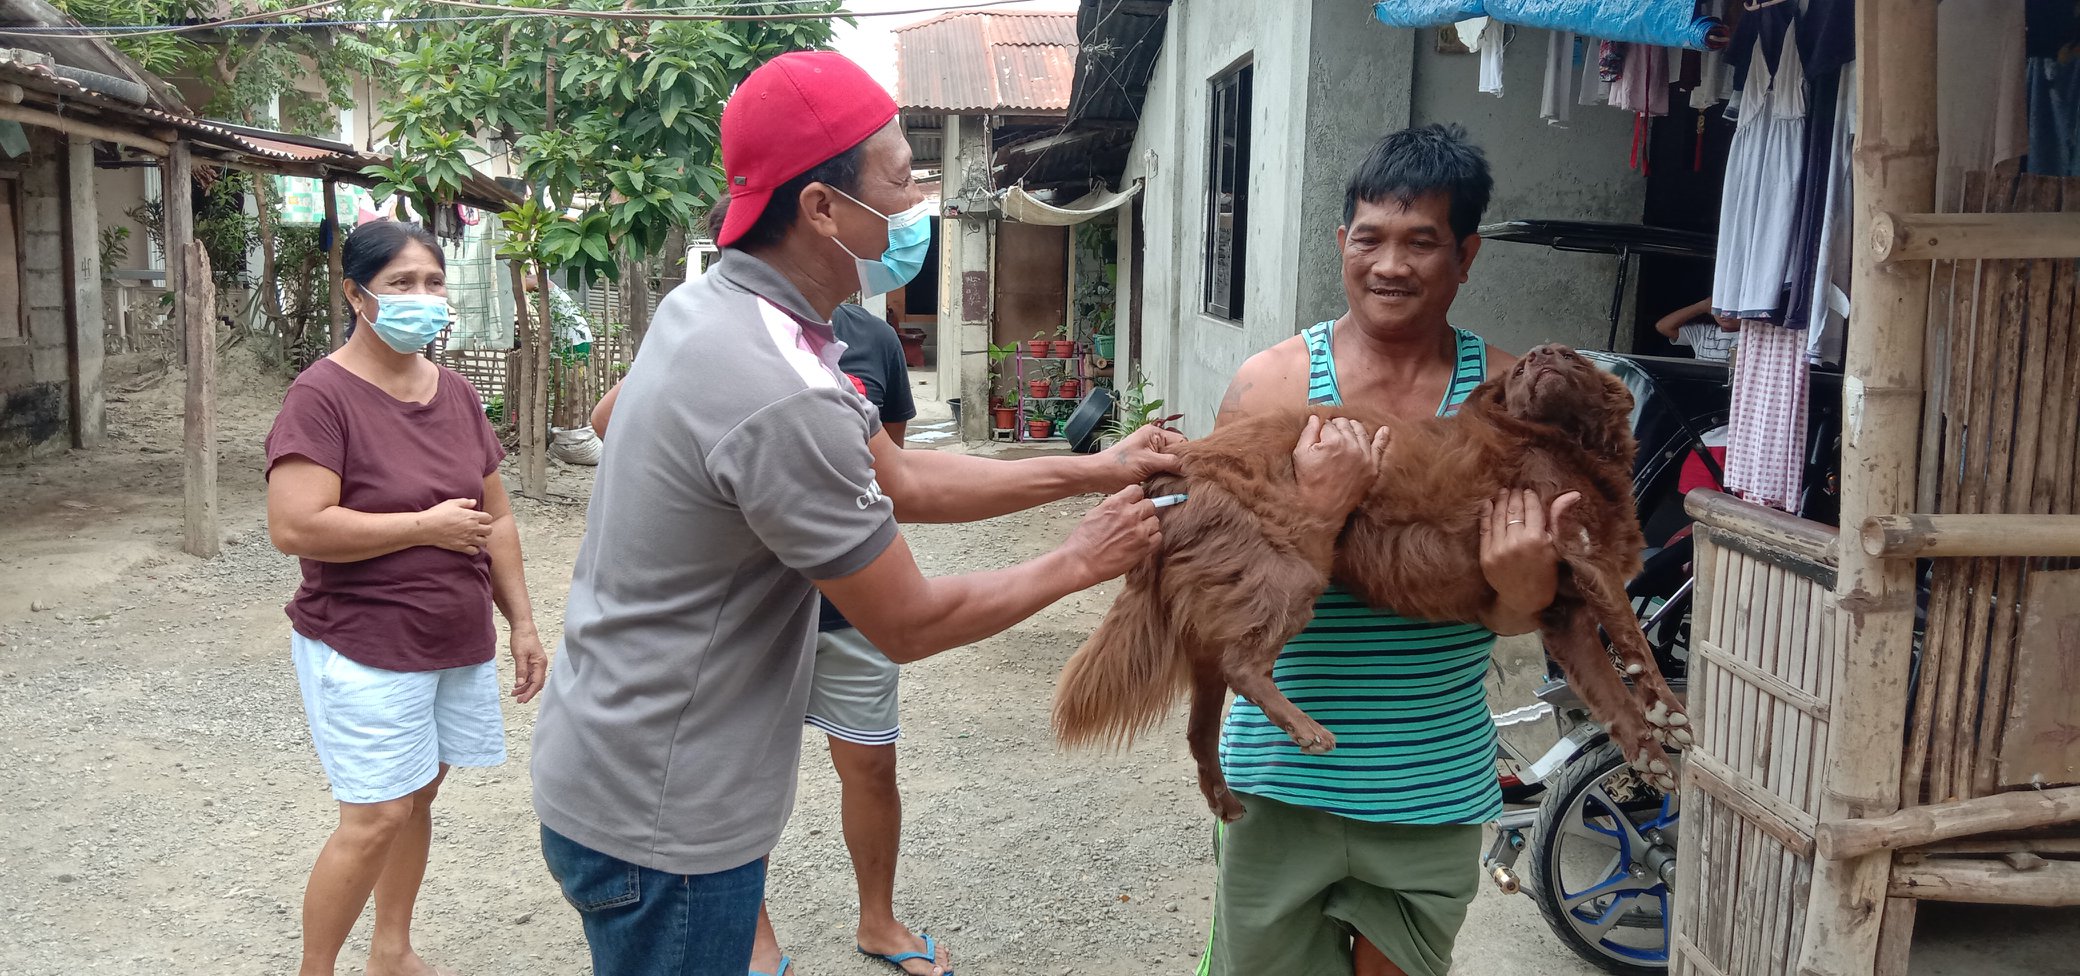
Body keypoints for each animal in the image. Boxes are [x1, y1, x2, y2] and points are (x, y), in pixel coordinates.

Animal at [1056, 345, 1688, 819]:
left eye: (1571, 357)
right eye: (1520, 370)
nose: (1540, 355)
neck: (1559, 439)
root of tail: (1179, 464)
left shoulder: (1563, 617)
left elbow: (1610, 695)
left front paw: (1649, 757)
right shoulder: (1586, 556)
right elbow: (1633, 641)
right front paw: (1672, 712)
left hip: (1219, 614)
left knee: (1198, 727)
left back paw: (1224, 798)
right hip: (1291, 571)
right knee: (1244, 665)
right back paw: (1307, 730)